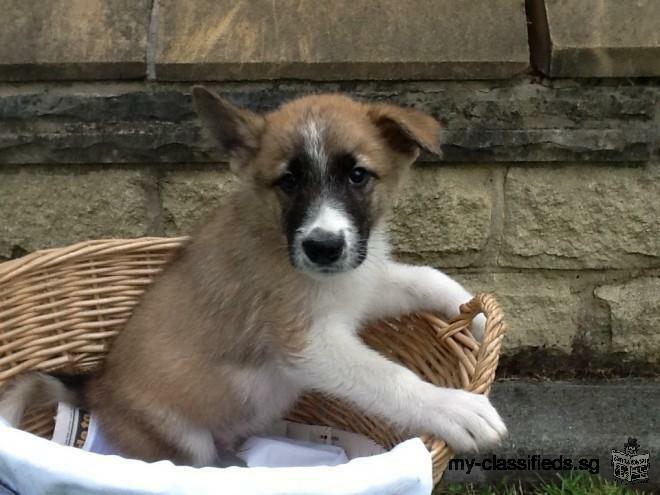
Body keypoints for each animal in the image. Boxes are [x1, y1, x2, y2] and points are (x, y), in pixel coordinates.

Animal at [0, 88, 506, 464]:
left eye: (358, 175)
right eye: (289, 180)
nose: (323, 247)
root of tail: (95, 388)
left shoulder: (359, 286)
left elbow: (426, 278)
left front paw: (481, 319)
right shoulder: (305, 341)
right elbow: (385, 375)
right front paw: (451, 407)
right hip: (182, 439)